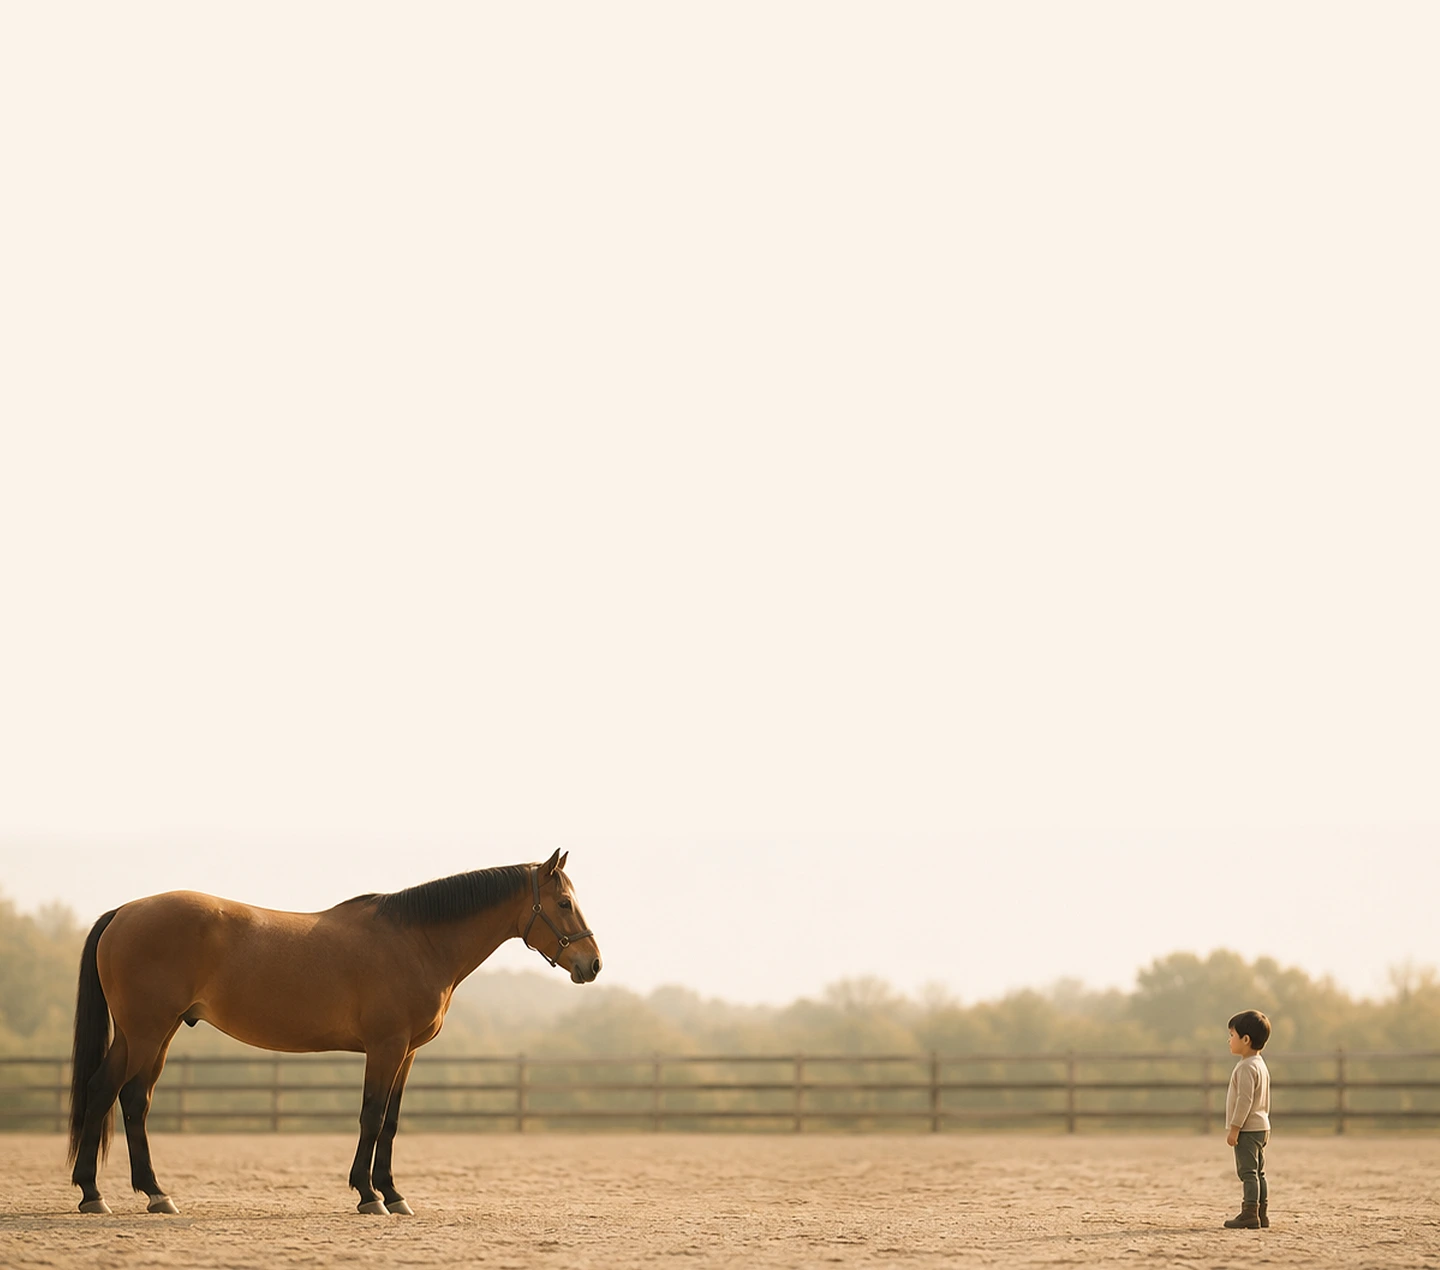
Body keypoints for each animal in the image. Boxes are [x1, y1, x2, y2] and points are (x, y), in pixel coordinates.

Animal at [67, 849, 600, 1216]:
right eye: (563, 902)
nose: (592, 964)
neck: (417, 941)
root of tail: (124, 912)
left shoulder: (406, 1053)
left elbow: (391, 1121)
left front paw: (393, 1193)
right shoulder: (385, 1048)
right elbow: (371, 1116)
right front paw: (369, 1196)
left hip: (152, 1034)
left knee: (119, 1096)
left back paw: (132, 1193)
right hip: (147, 1031)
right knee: (116, 1093)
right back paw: (114, 1193)